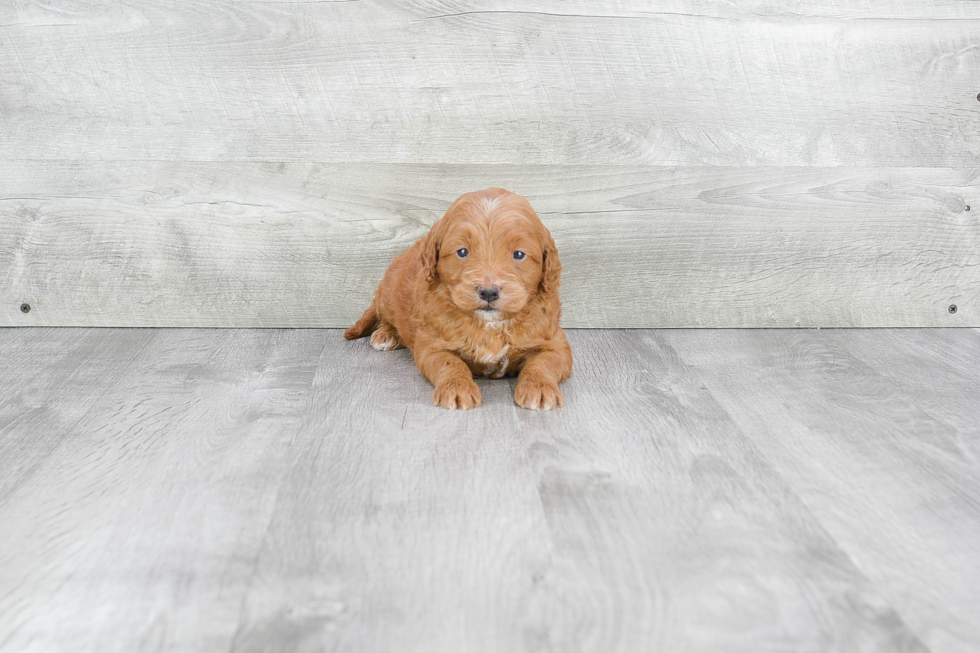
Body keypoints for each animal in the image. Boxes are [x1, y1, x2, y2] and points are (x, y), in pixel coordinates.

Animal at [348, 186, 572, 410]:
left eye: (518, 254)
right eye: (462, 252)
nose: (488, 292)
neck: (490, 325)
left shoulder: (555, 342)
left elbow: (543, 363)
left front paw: (540, 388)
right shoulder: (432, 345)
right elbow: (450, 363)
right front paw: (456, 389)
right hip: (388, 293)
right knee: (384, 315)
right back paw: (385, 335)